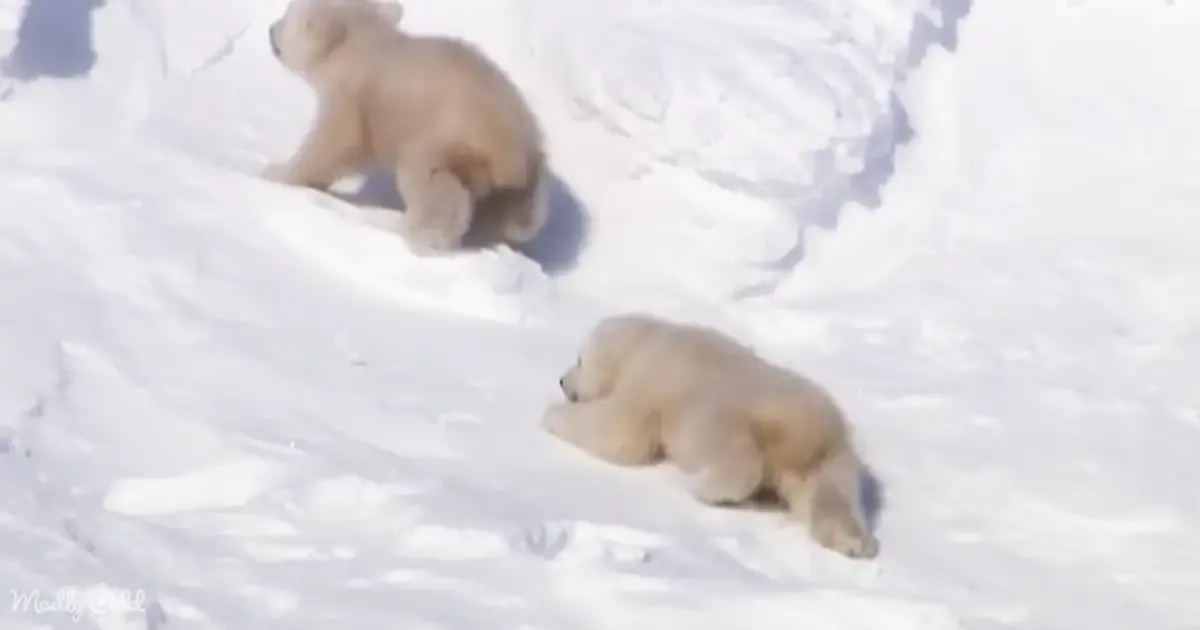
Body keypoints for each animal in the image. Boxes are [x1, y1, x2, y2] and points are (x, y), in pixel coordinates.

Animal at [263, 0, 550, 254]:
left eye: (287, 18)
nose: (270, 29)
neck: (363, 44)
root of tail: (515, 153)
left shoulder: (353, 97)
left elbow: (334, 142)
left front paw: (276, 172)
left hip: (451, 138)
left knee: (430, 182)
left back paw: (418, 234)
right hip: (524, 177)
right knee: (517, 214)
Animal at [541, 313, 879, 559]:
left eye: (580, 359)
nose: (561, 380)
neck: (646, 342)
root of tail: (806, 431)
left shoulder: (652, 381)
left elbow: (622, 431)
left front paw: (551, 415)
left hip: (731, 412)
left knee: (732, 455)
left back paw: (713, 490)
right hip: (831, 457)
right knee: (832, 495)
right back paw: (853, 542)